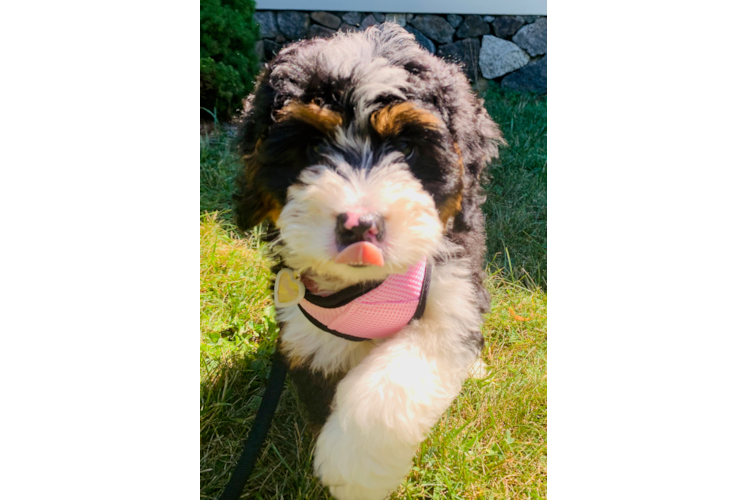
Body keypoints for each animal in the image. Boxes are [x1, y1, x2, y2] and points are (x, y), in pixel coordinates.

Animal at [234, 21, 502, 498]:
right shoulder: (307, 324)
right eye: (312, 149)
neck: (367, 286)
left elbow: (394, 378)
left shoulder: (452, 292)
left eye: (407, 149)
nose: (360, 226)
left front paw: (353, 467)